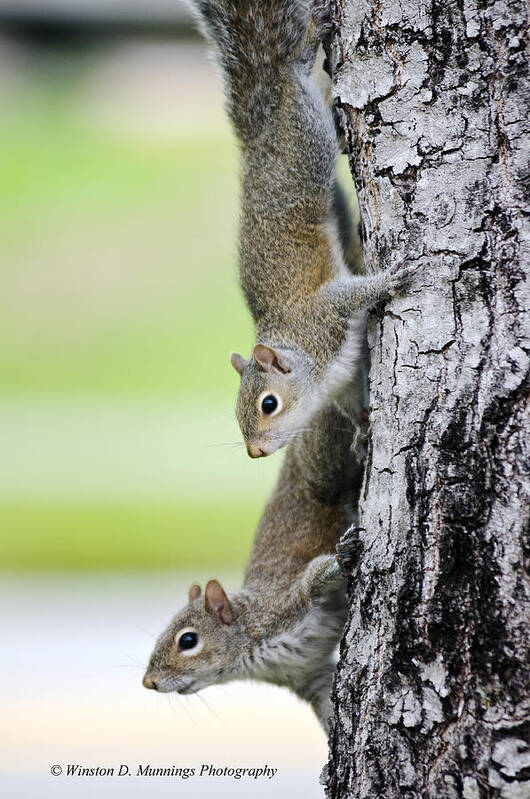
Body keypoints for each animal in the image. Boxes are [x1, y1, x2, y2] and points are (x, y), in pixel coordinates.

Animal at [142, 400, 360, 732]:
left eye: (188, 640)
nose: (148, 682)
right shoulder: (307, 675)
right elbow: (324, 699)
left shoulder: (287, 603)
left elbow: (314, 577)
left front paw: (342, 555)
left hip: (322, 463)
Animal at [188, 0, 414, 460]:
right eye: (236, 411)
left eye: (268, 404)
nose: (254, 452)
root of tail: (259, 134)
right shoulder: (343, 381)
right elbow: (354, 403)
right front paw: (362, 430)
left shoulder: (324, 313)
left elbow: (354, 294)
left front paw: (389, 280)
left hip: (303, 143)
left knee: (295, 73)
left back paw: (309, 43)